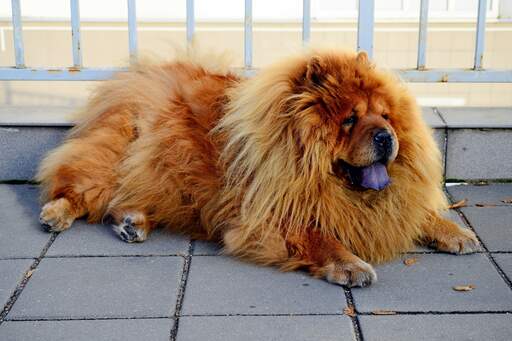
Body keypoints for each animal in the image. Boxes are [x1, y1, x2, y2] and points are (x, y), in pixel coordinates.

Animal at [38, 48, 478, 286]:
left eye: (385, 116)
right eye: (349, 120)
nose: (386, 137)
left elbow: (416, 214)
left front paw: (455, 233)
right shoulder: (267, 214)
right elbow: (318, 237)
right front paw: (351, 265)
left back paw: (133, 222)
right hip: (118, 156)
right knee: (78, 184)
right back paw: (57, 213)